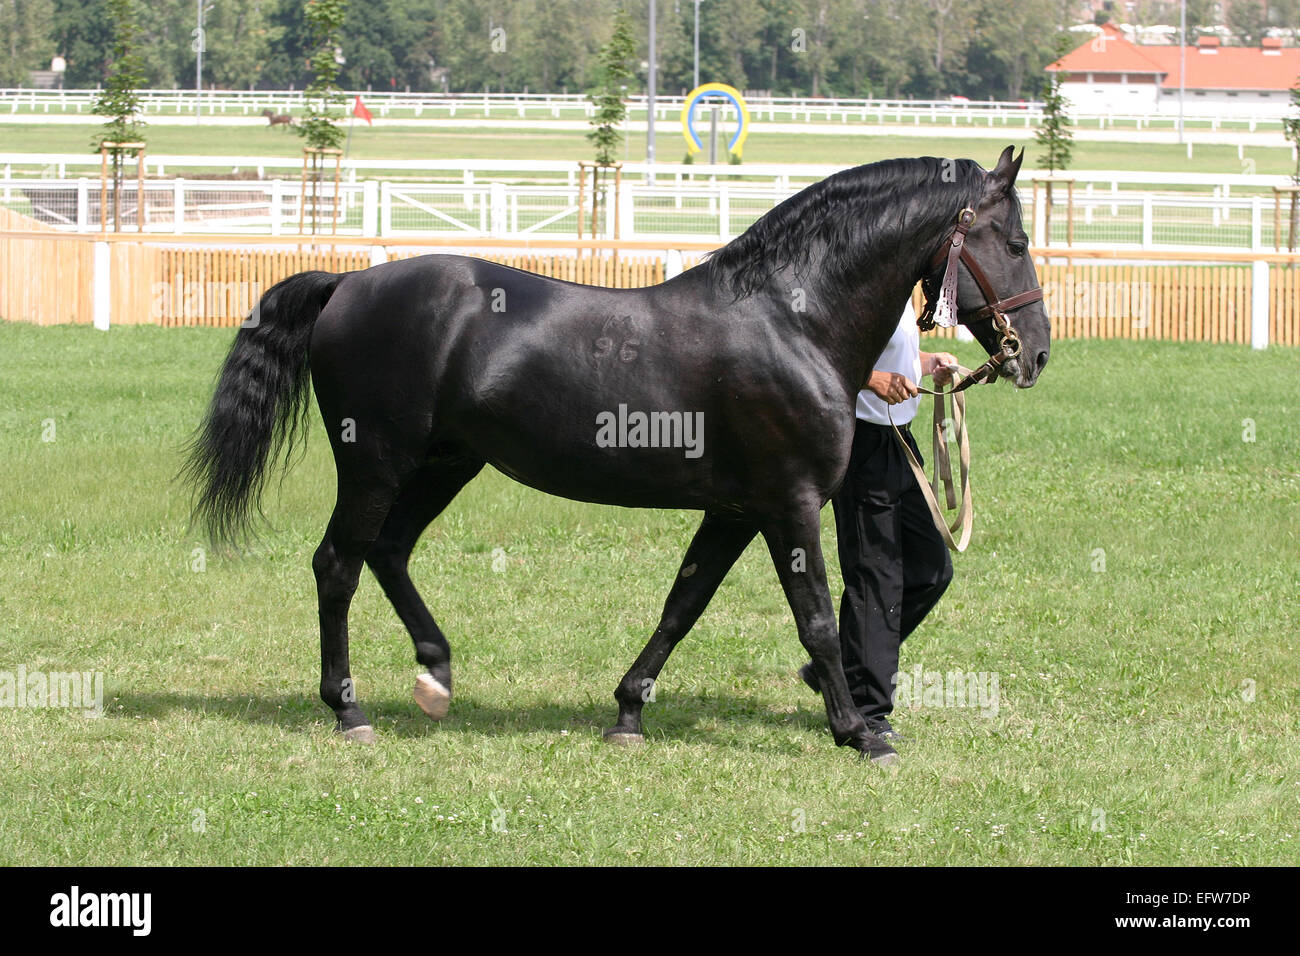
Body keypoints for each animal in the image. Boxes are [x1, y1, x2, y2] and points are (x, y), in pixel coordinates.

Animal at [185, 145, 1045, 764]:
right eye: (1014, 239)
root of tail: (345, 286)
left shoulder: (735, 511)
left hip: (446, 462)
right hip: (377, 464)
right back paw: (350, 709)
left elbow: (682, 605)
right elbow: (818, 622)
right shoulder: (789, 505)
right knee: (339, 564)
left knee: (389, 552)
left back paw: (435, 676)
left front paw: (630, 711)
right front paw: (858, 733)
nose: (1031, 353)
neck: (791, 320)